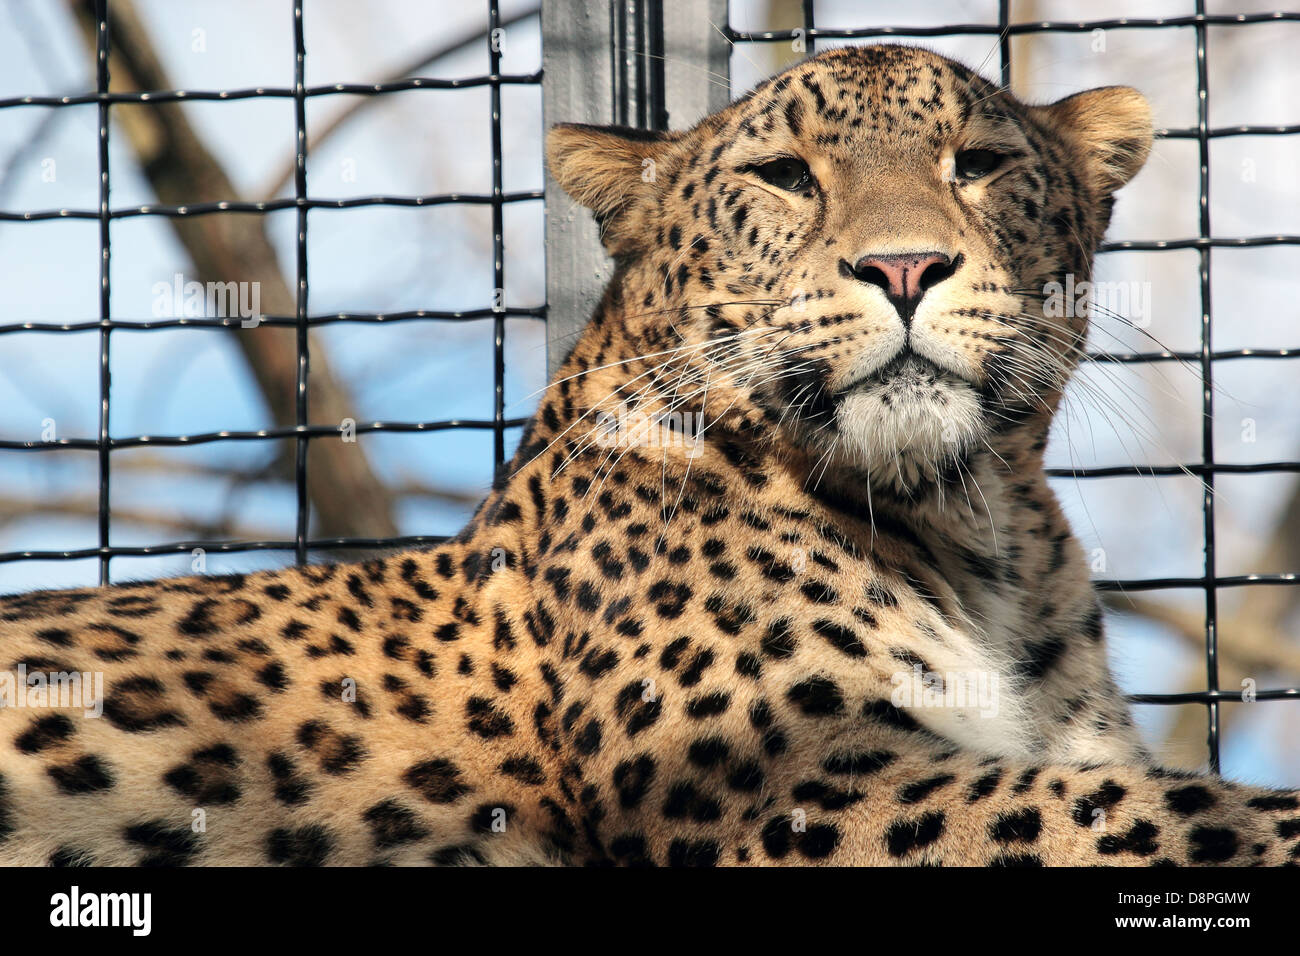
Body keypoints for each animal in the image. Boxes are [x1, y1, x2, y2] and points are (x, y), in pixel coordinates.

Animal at [2, 42, 1300, 868]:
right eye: (784, 175)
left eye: (976, 164)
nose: (903, 266)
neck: (981, 532)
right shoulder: (791, 782)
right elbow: (1159, 814)